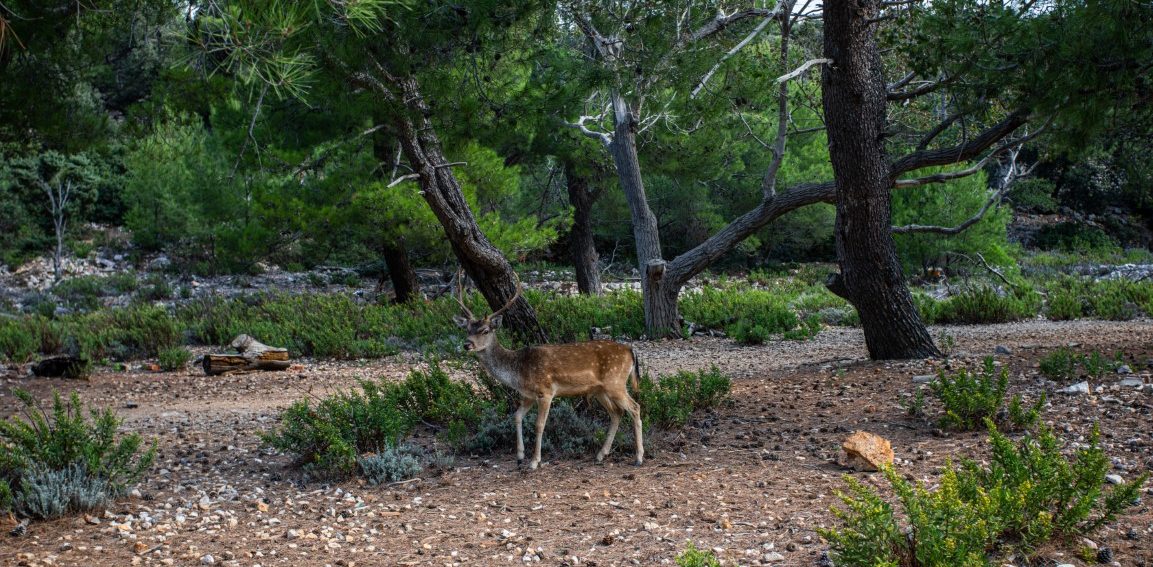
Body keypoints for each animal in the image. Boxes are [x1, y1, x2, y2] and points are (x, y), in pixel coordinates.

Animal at [451, 269, 650, 470]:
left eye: (485, 330)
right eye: (467, 329)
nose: (467, 344)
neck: (518, 372)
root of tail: (630, 350)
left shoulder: (545, 391)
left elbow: (539, 425)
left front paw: (534, 461)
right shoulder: (528, 395)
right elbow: (516, 416)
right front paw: (519, 457)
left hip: (615, 382)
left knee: (635, 407)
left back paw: (639, 458)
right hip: (600, 389)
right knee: (617, 412)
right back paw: (601, 454)